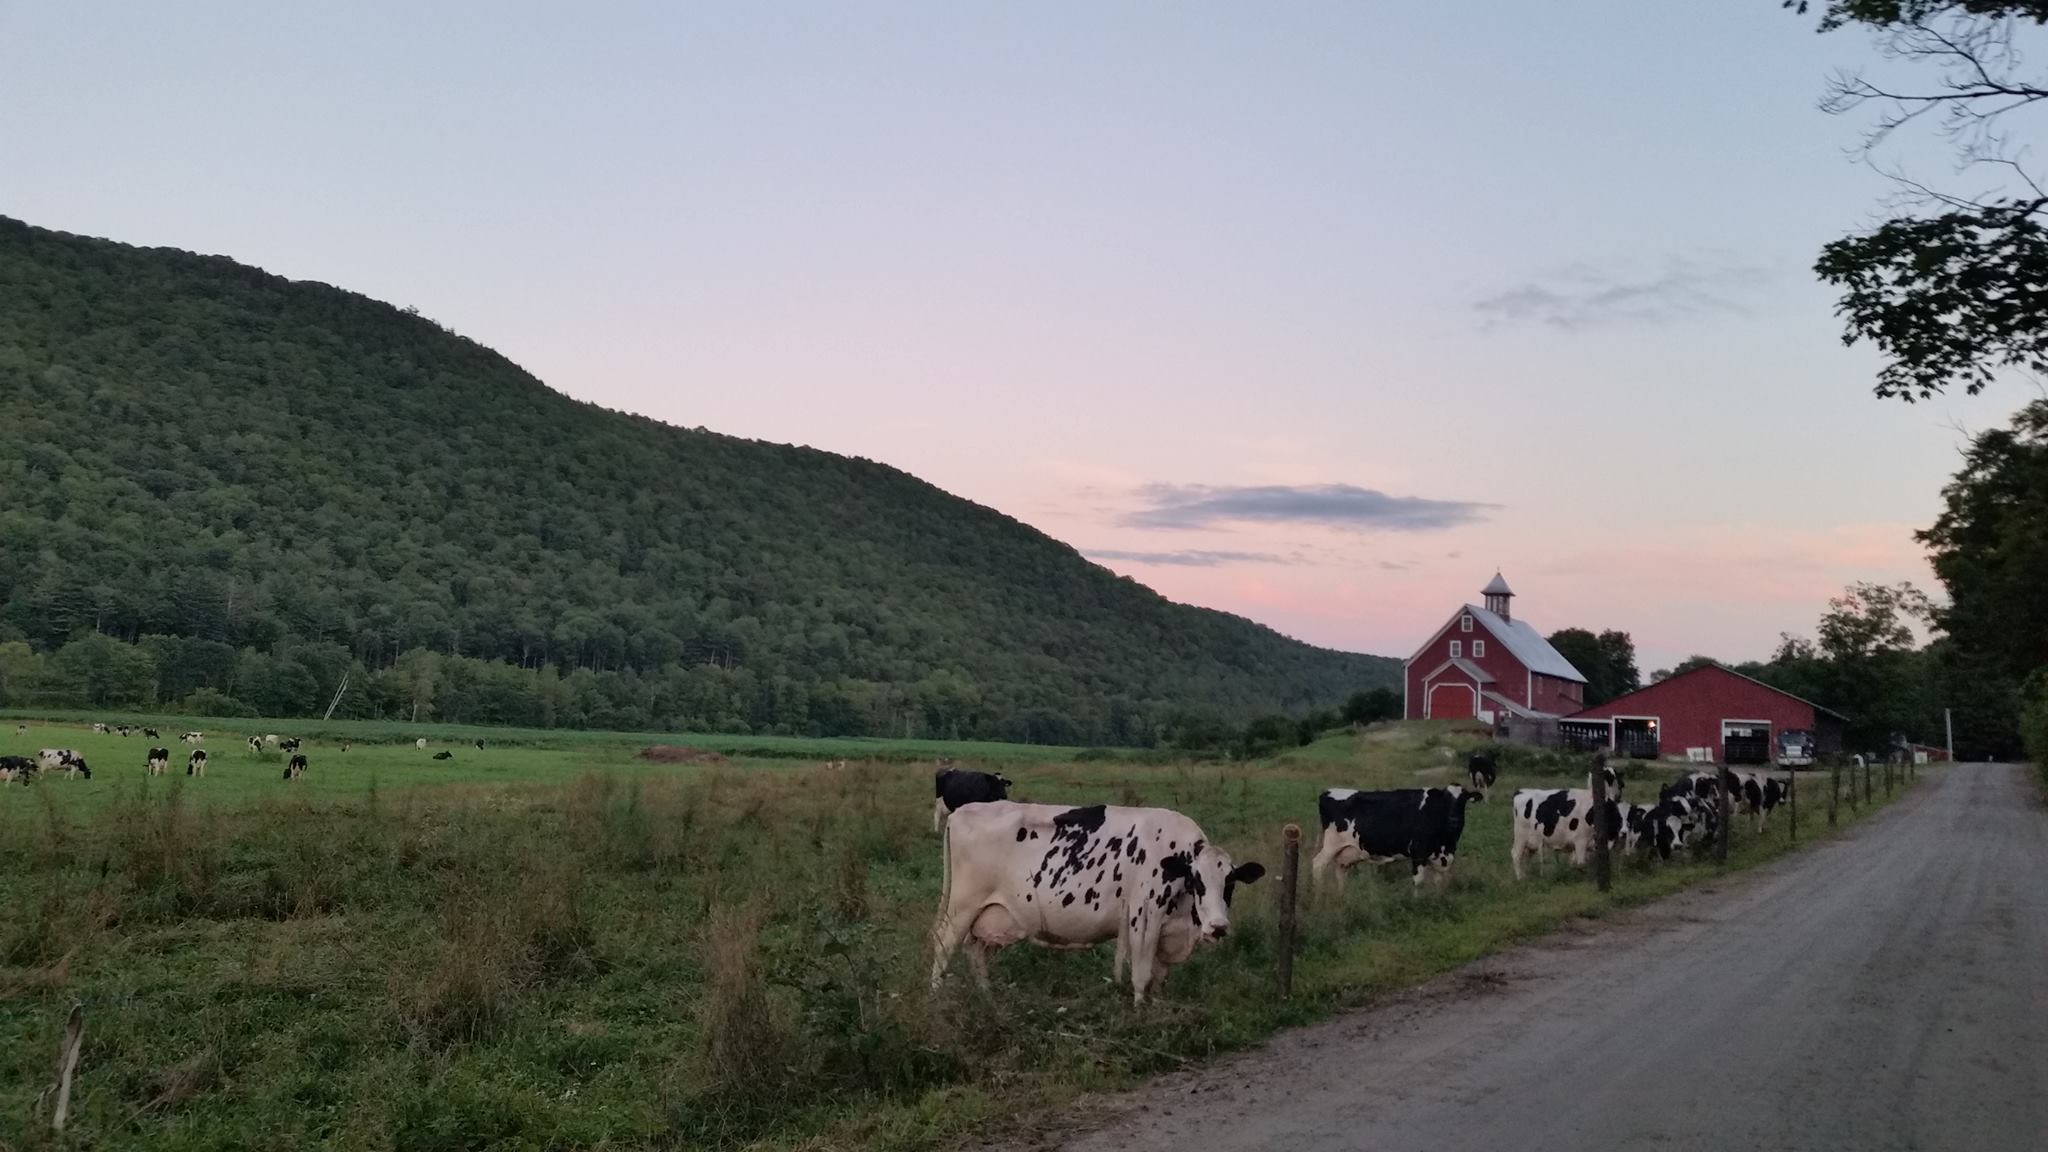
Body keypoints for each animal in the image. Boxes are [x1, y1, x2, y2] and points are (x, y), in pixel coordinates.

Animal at [933, 799, 1261, 1004]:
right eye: (1196, 880)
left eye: (1230, 882)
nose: (1217, 927)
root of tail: (962, 811)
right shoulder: (1144, 917)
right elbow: (1142, 976)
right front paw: (1139, 1014)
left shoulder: (1168, 931)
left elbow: (1160, 978)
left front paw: (1159, 1009)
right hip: (961, 907)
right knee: (943, 946)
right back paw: (936, 998)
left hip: (991, 916)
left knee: (976, 951)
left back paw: (988, 999)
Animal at [1318, 783, 1482, 893]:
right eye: (1446, 800)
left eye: (1464, 800)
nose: (1454, 819)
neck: (1446, 842)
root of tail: (1328, 791)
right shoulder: (1418, 853)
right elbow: (1418, 881)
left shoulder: (1442, 857)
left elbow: (1438, 881)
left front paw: (1438, 899)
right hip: (1330, 845)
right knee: (1317, 865)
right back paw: (1318, 898)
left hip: (1345, 852)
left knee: (1340, 872)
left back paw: (1342, 896)